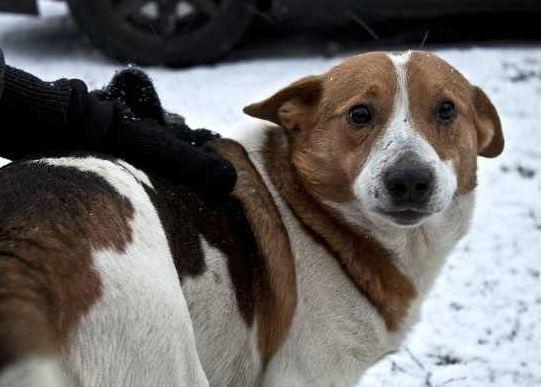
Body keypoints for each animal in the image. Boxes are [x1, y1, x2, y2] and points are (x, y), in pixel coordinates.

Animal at [0, 51, 502, 387]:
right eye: (360, 114)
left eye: (446, 110)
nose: (410, 180)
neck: (312, 215)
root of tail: (24, 244)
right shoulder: (305, 375)